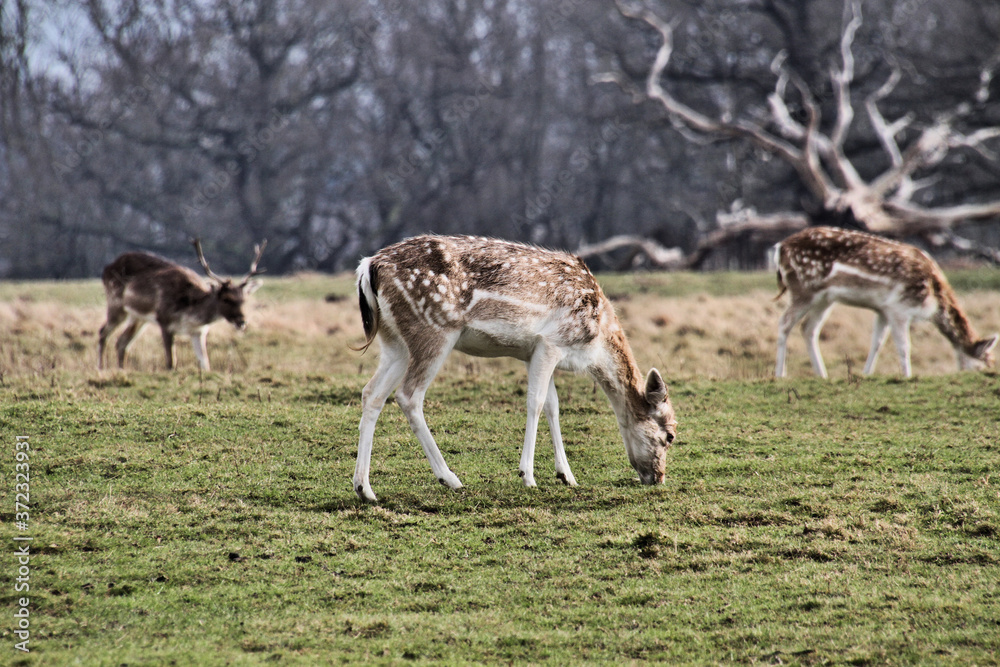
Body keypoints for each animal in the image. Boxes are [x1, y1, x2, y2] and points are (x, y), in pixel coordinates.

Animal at [97, 240, 266, 374]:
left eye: (244, 299)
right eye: (226, 299)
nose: (241, 321)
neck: (189, 315)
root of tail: (105, 269)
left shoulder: (199, 332)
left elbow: (205, 363)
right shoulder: (164, 320)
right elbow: (171, 362)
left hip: (138, 317)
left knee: (122, 342)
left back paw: (122, 370)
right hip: (116, 304)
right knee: (103, 332)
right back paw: (101, 368)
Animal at [354, 235, 680, 500]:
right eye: (670, 436)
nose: (658, 478)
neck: (596, 341)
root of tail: (368, 266)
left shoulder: (532, 352)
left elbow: (553, 406)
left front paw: (567, 475)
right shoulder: (552, 342)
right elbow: (535, 403)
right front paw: (528, 476)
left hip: (393, 343)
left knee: (371, 393)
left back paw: (364, 488)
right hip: (434, 330)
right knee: (408, 396)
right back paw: (450, 478)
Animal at [776, 227, 996, 378]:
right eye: (985, 365)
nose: (989, 373)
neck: (933, 299)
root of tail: (780, 248)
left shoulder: (883, 309)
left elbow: (877, 343)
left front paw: (866, 374)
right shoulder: (899, 307)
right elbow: (904, 345)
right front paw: (907, 376)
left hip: (825, 298)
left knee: (808, 328)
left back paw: (822, 375)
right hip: (804, 289)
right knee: (784, 323)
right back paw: (780, 374)